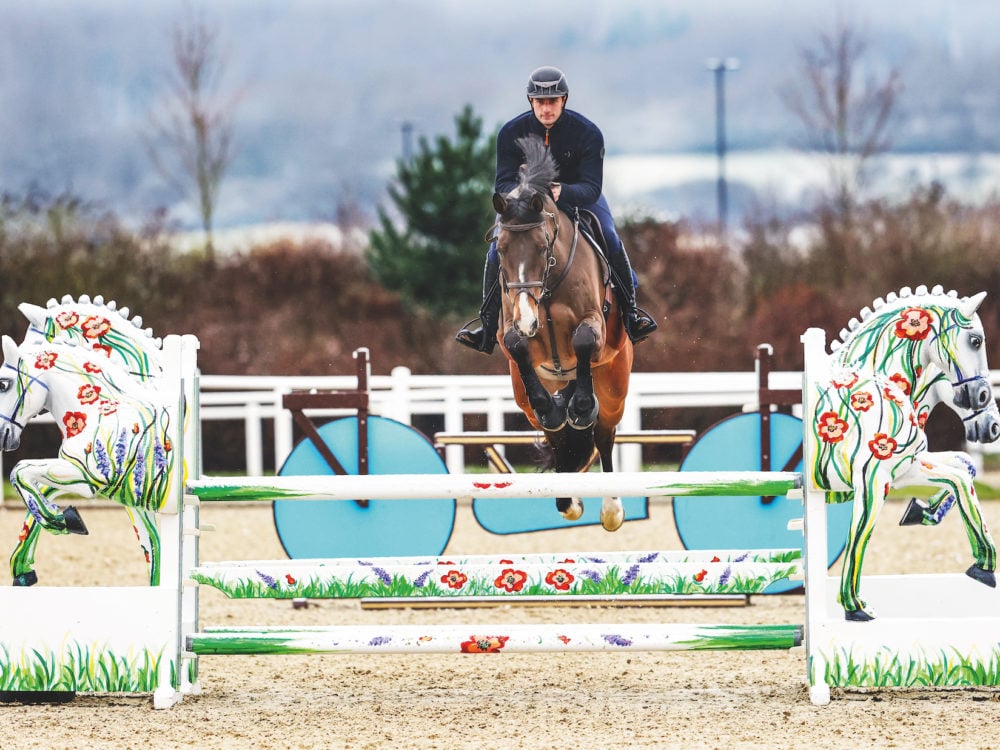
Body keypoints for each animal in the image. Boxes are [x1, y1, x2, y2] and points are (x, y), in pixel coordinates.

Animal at [492, 135, 632, 536]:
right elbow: (515, 344)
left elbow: (584, 341)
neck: (549, 283)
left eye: (543, 246)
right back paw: (567, 496)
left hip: (614, 384)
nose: (527, 317)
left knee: (604, 434)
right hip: (521, 394)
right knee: (554, 435)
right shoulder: (510, 331)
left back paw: (611, 508)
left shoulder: (592, 323)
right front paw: (553, 408)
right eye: (500, 248)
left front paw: (581, 409)